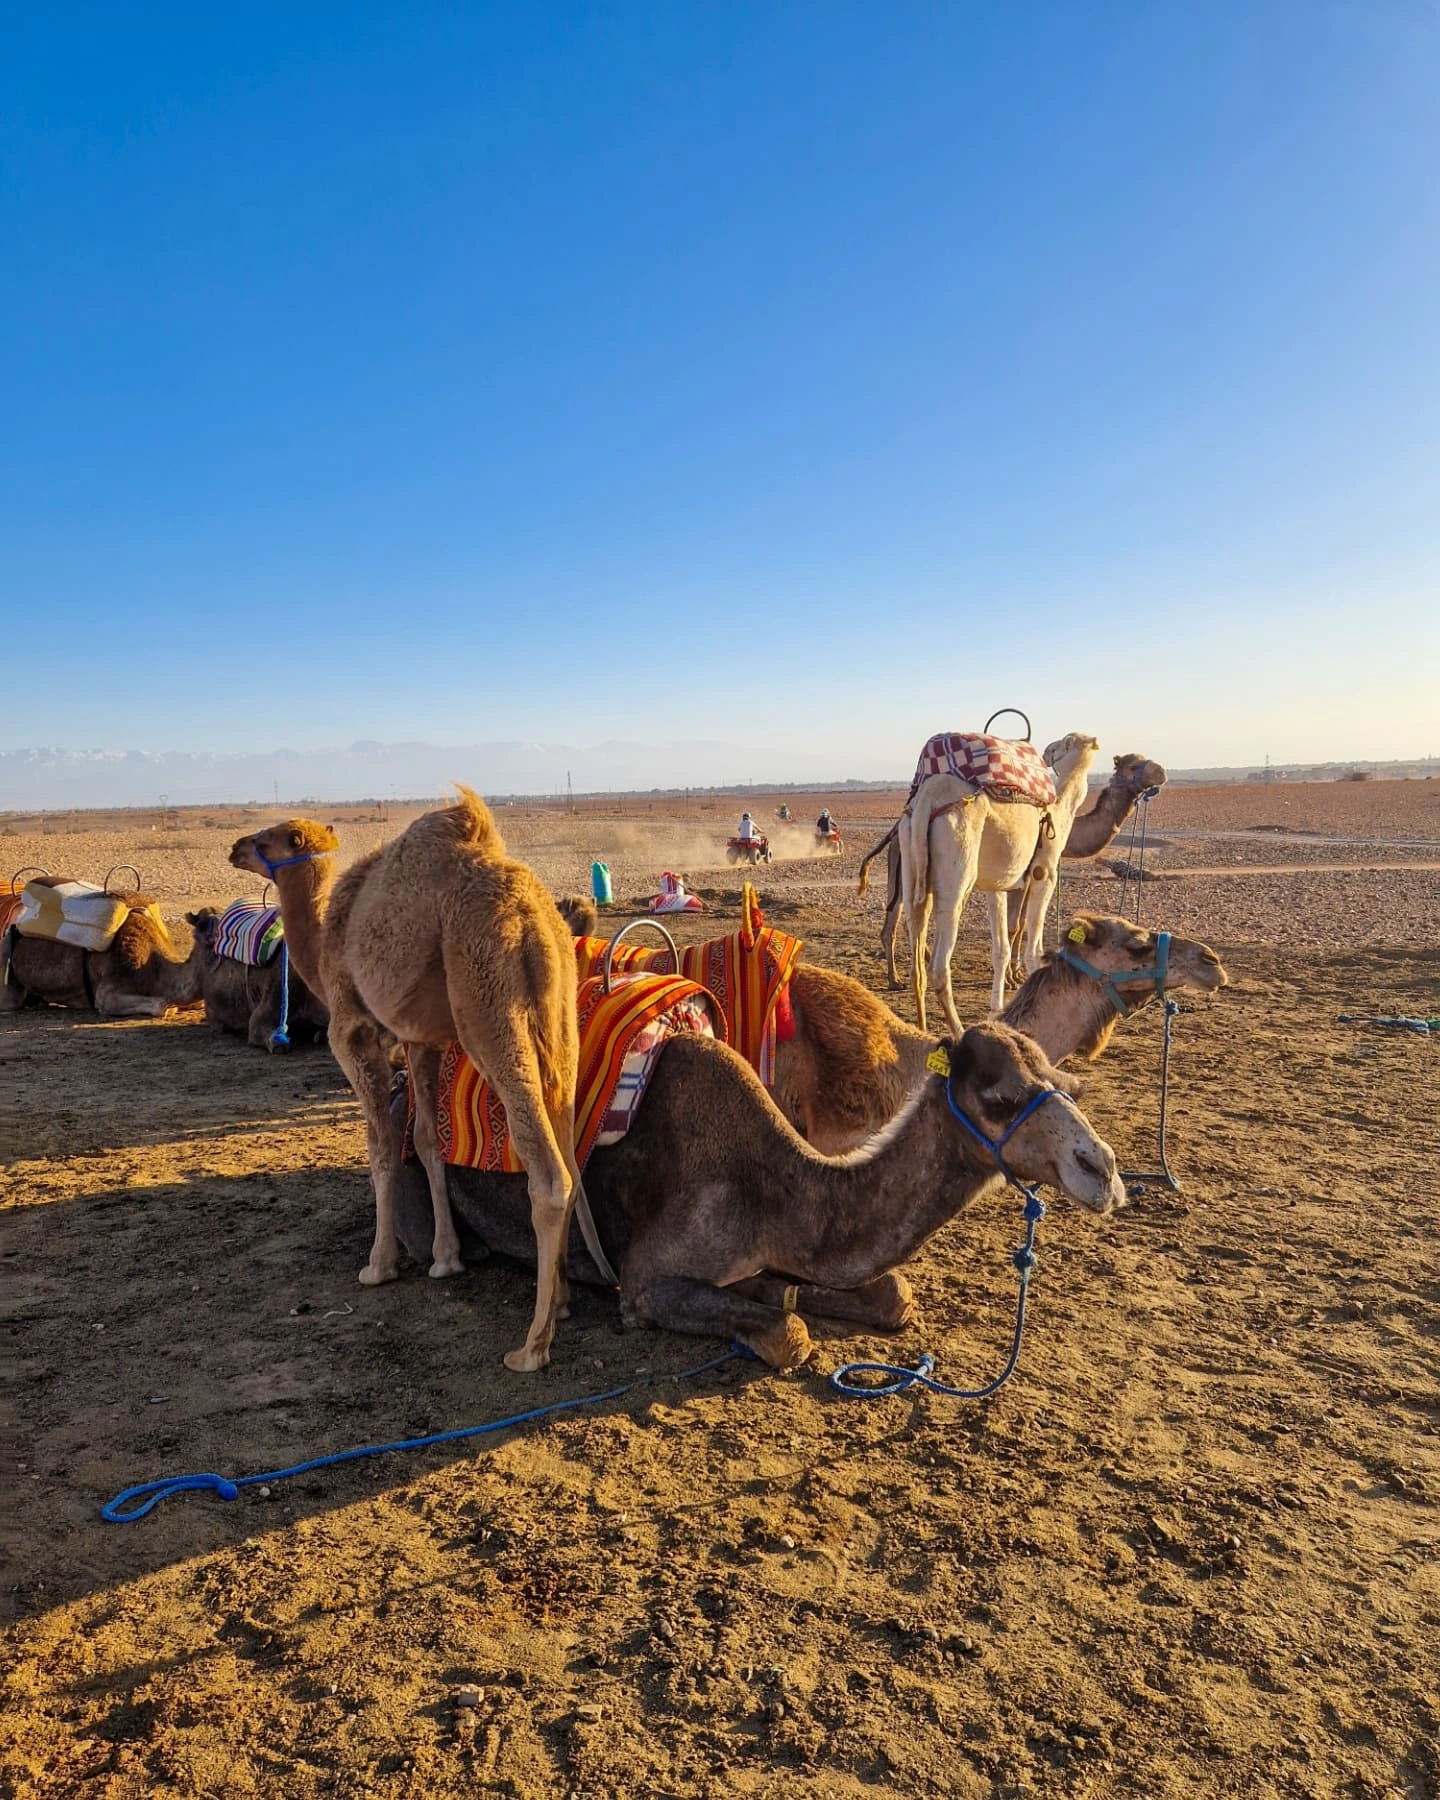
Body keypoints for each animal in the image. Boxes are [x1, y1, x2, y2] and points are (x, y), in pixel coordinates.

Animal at [230, 788, 588, 1373]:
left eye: (270, 839)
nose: (235, 847)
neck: (327, 943)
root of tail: (529, 914)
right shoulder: (422, 1041)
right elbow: (426, 1141)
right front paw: (446, 1259)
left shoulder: (354, 1032)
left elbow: (380, 1147)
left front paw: (379, 1265)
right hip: (560, 1014)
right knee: (571, 1152)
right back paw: (559, 1302)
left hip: (487, 999)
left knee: (550, 1177)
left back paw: (531, 1346)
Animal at [392, 1020, 1125, 1368]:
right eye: (999, 1099)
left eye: (1062, 1078)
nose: (1103, 1170)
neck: (783, 1189)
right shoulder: (646, 1279)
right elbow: (790, 1334)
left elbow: (889, 1294)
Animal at [868, 752, 1168, 993]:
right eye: (1133, 765)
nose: (1161, 772)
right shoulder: (1025, 879)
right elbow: (1016, 926)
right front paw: (1013, 978)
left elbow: (1019, 925)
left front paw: (1017, 973)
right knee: (896, 925)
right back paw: (896, 979)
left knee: (901, 922)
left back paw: (906, 972)